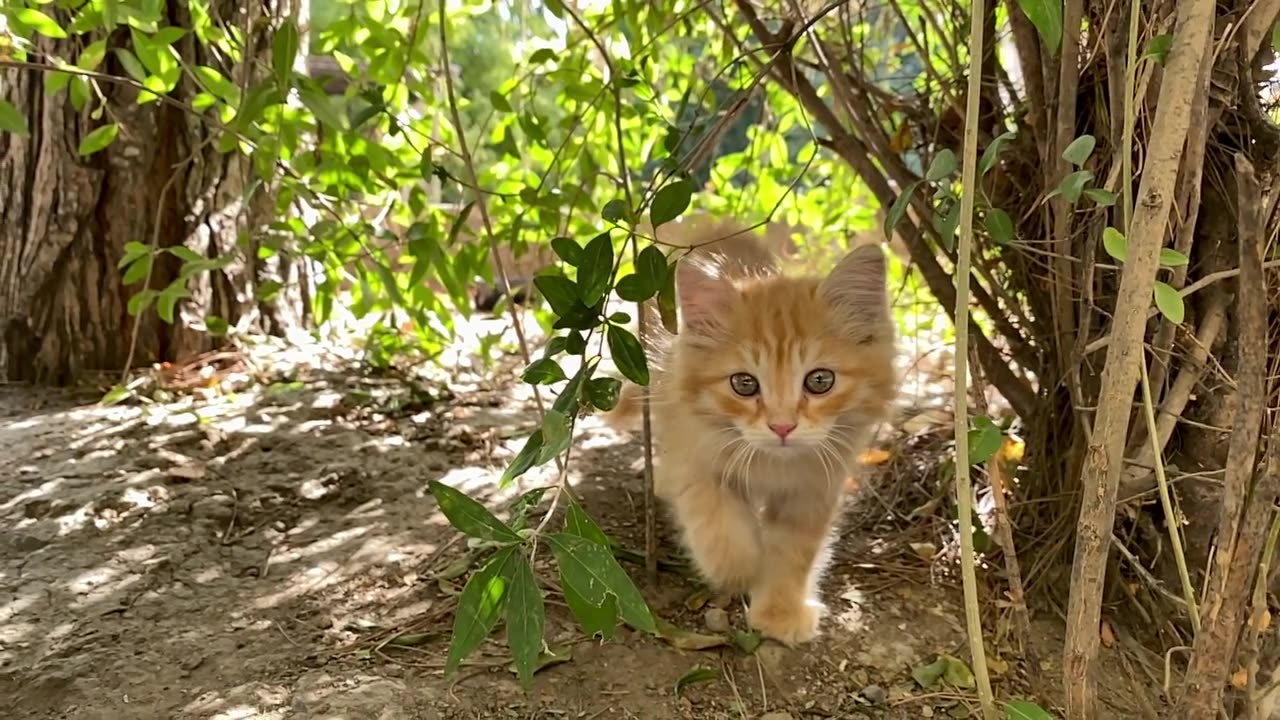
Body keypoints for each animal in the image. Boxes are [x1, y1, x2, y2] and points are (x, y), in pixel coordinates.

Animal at [606, 220, 890, 645]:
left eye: (820, 381)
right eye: (744, 384)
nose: (782, 426)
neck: (772, 465)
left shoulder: (814, 487)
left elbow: (794, 551)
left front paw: (780, 610)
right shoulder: (693, 450)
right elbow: (714, 517)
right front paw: (739, 566)